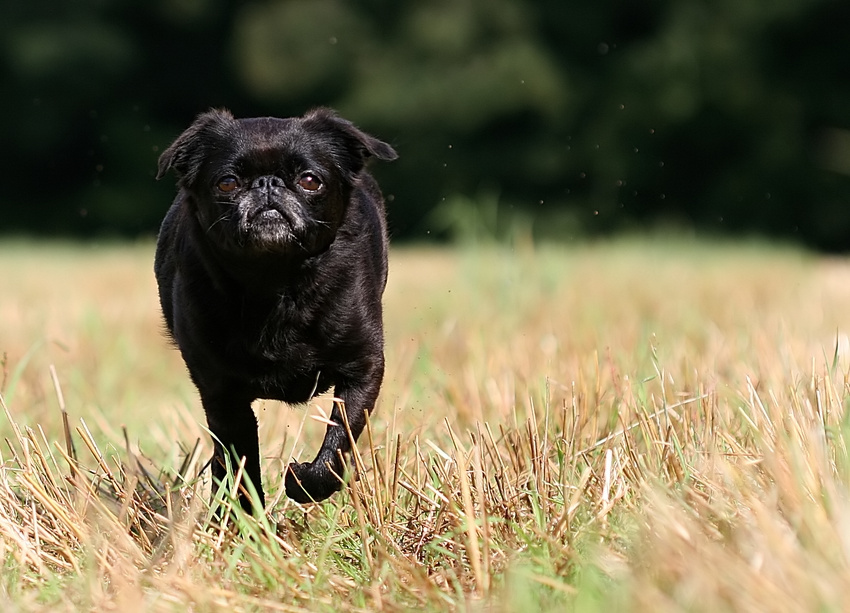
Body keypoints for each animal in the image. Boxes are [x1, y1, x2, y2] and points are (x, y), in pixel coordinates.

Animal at [154, 107, 396, 510]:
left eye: (310, 180)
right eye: (227, 183)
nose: (268, 184)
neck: (276, 281)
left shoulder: (362, 371)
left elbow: (340, 441)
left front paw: (304, 481)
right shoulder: (222, 395)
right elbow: (240, 460)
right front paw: (246, 515)